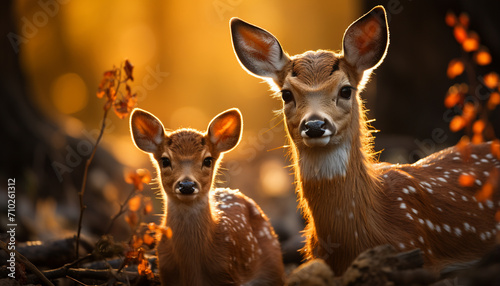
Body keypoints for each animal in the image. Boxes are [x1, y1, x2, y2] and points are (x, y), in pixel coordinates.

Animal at [131, 108, 284, 284]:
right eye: (165, 160)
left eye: (208, 160)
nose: (187, 185)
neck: (192, 269)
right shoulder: (166, 272)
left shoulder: (227, 272)